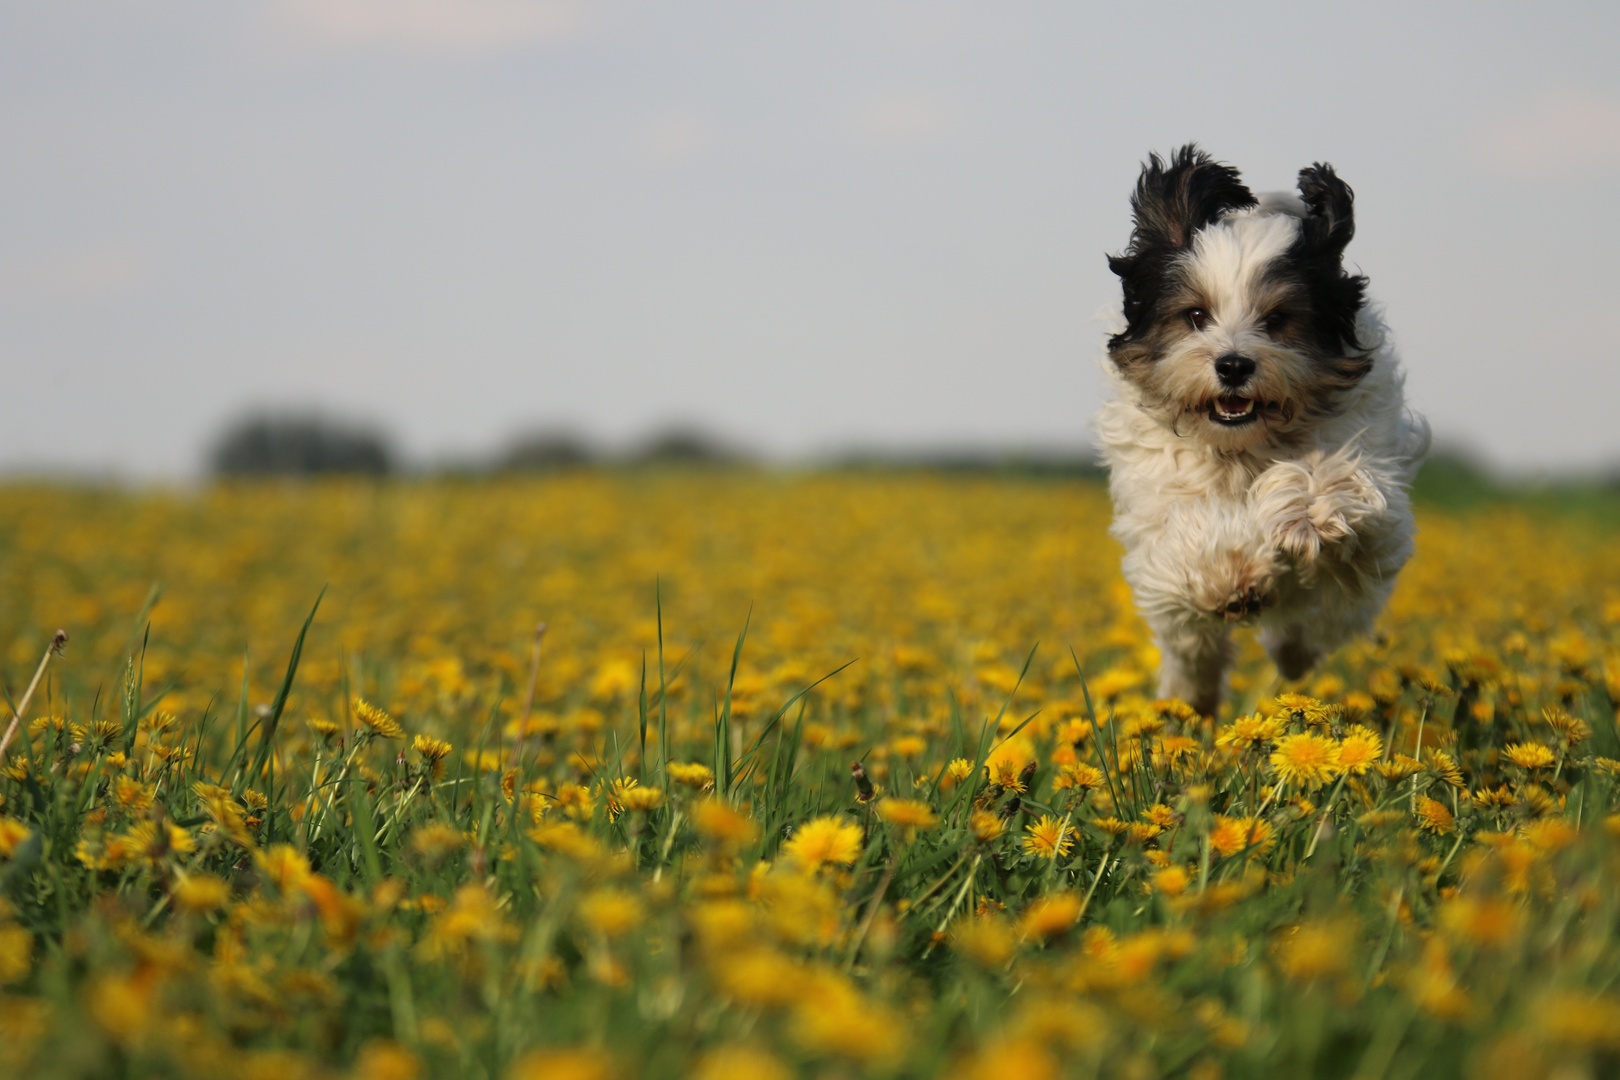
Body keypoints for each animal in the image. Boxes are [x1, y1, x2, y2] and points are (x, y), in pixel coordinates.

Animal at [1088, 143, 1432, 718]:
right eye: (1195, 315)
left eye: (1277, 319)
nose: (1233, 365)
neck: (1244, 447)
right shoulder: (1159, 500)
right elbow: (1191, 529)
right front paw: (1232, 574)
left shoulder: (1371, 498)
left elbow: (1333, 487)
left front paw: (1307, 515)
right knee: (1191, 646)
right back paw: (1192, 697)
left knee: (1308, 627)